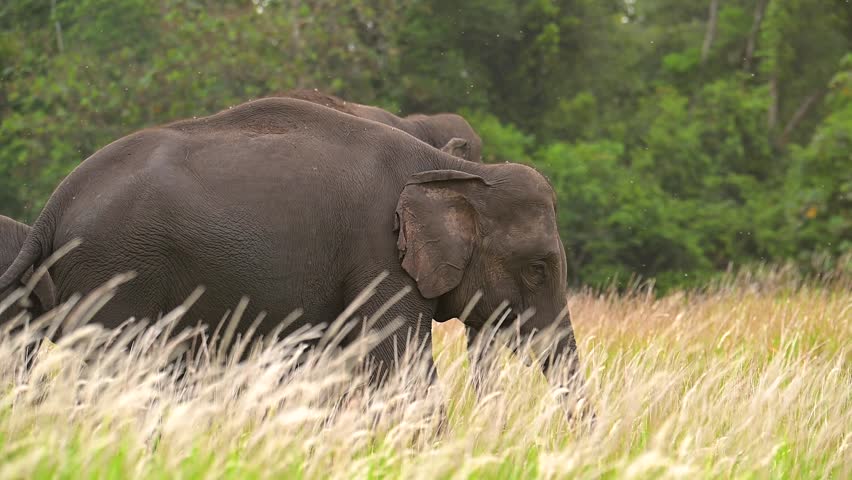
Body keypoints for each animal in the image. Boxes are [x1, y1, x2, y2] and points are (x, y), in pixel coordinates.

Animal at [0, 97, 581, 394]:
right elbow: (399, 368)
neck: (452, 170)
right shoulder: (378, 255)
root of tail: (54, 204)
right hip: (117, 272)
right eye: (537, 268)